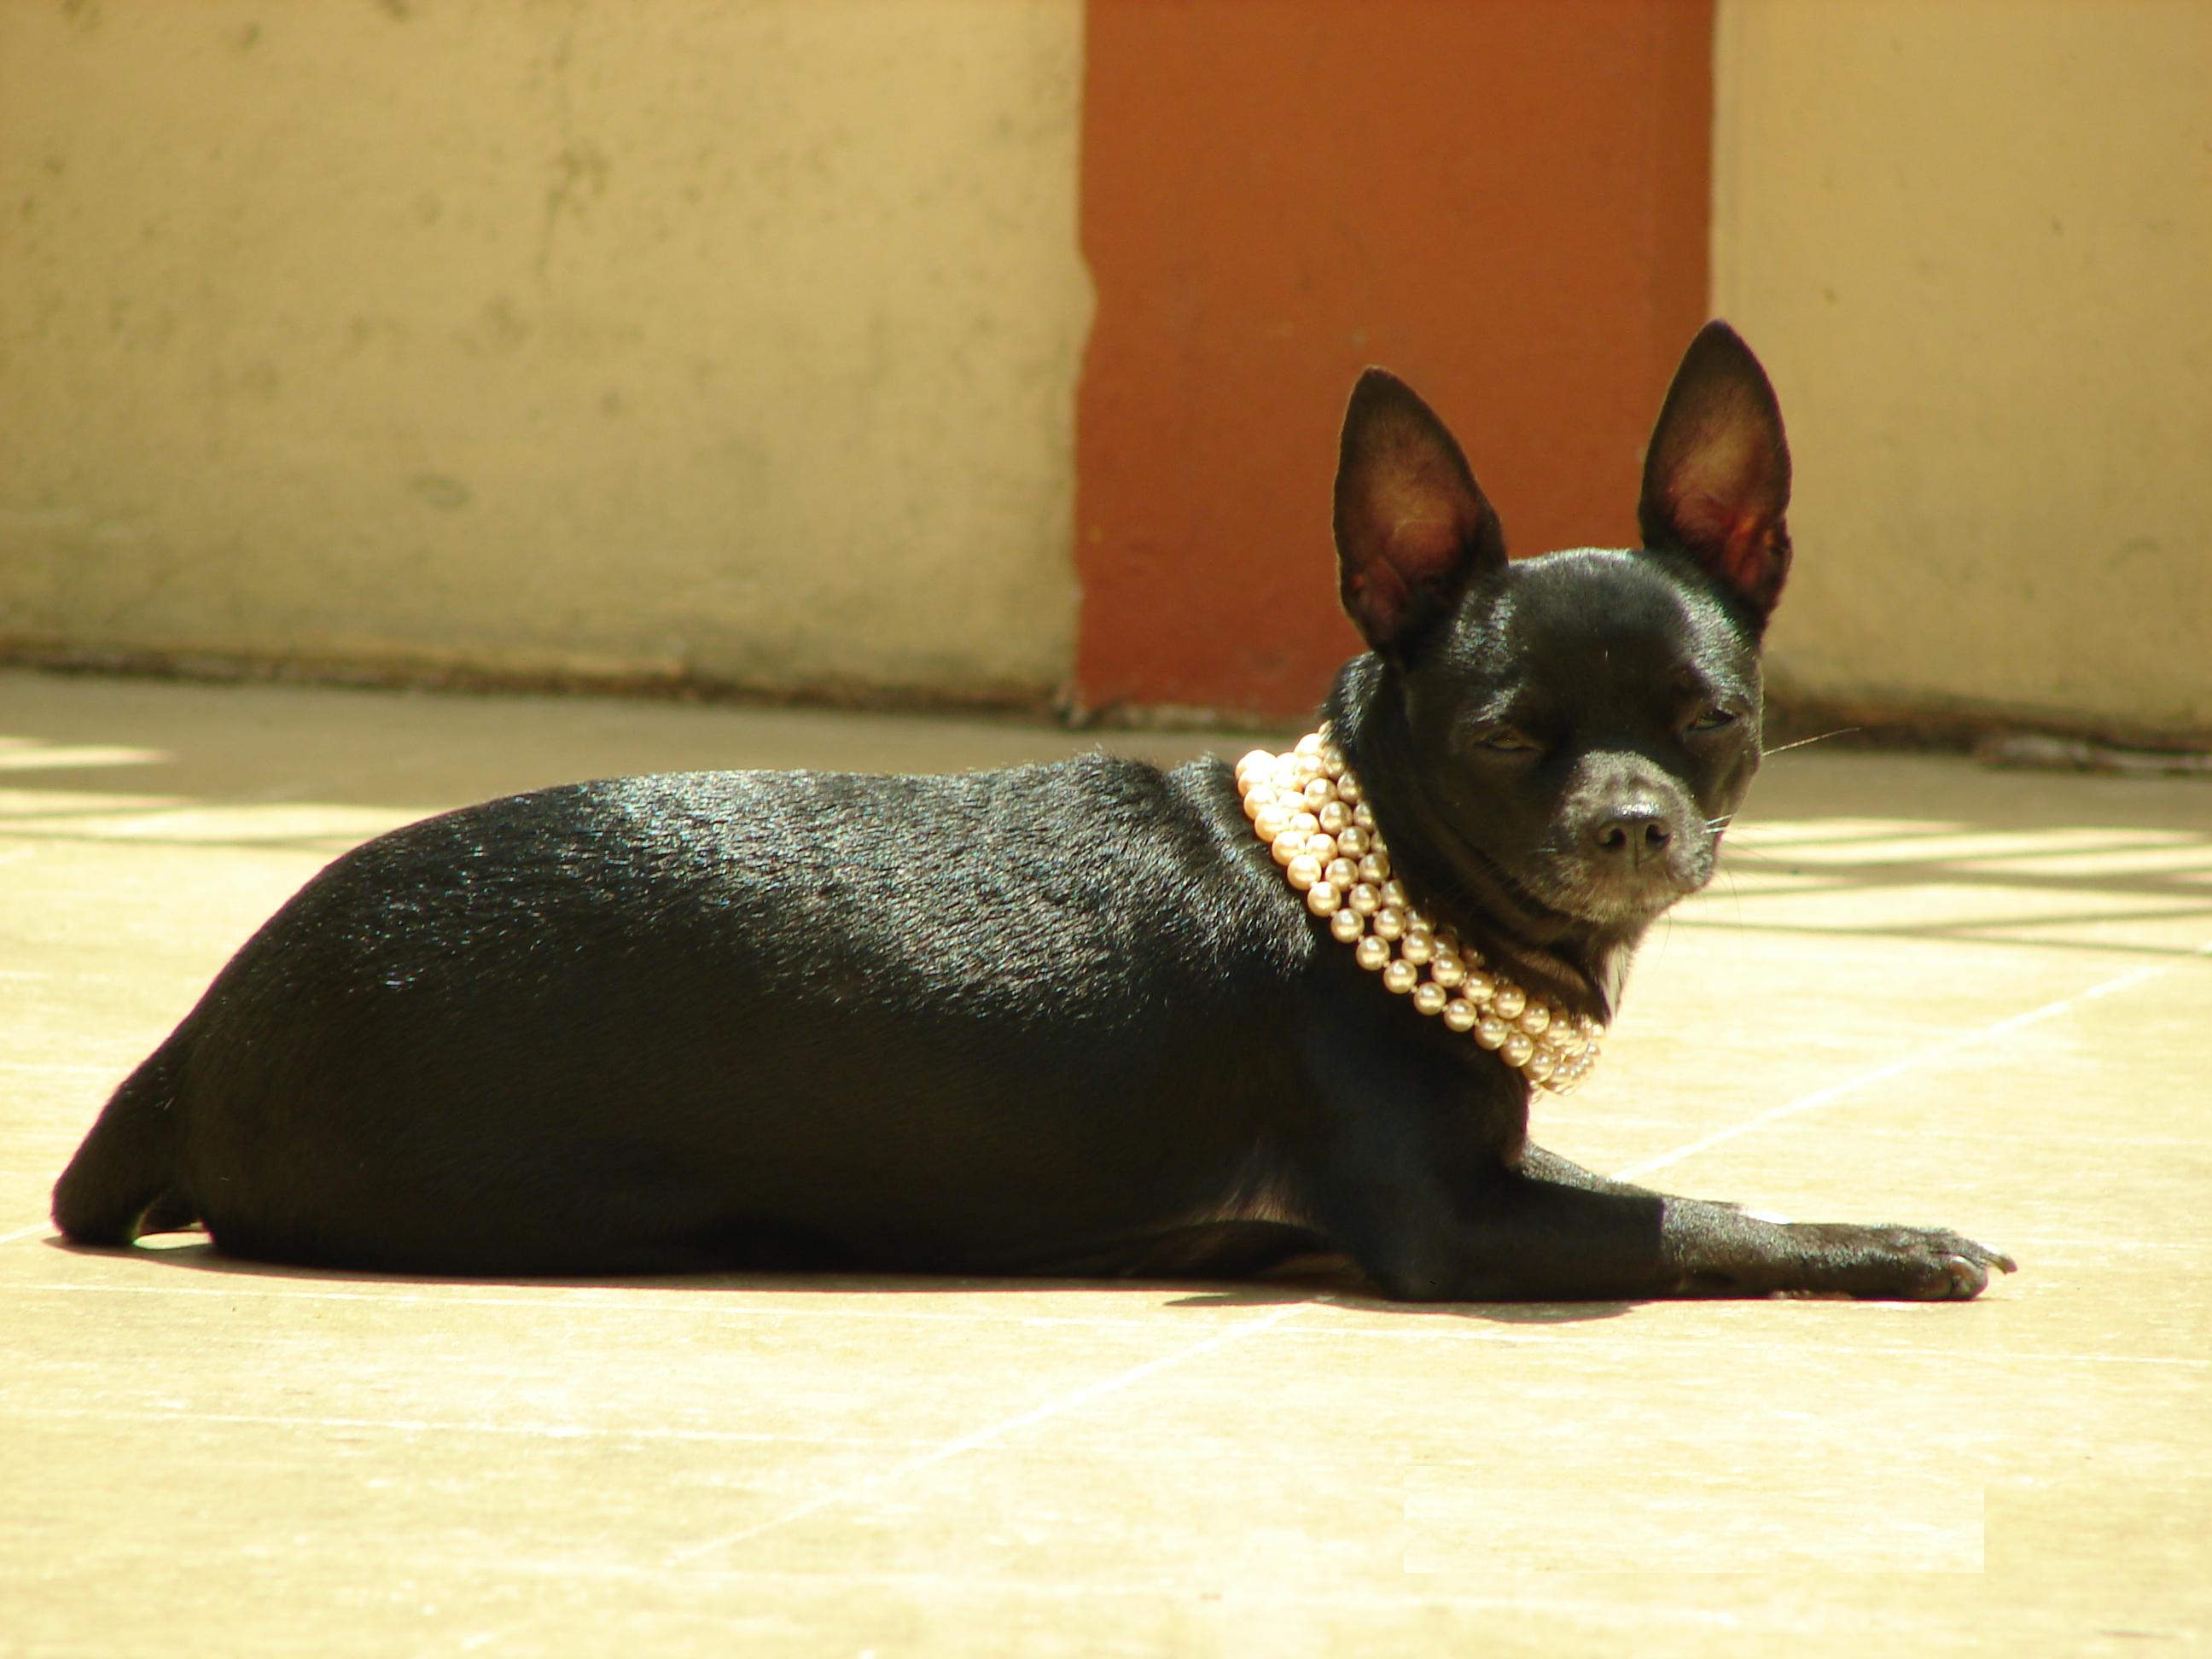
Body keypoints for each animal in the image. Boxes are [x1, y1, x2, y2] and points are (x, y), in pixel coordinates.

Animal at [55, 325, 2026, 1309]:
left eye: (1708, 724)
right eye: (1504, 739)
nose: (1628, 822)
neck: (1382, 873)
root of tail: (198, 1036)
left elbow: (1682, 1189)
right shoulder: (1452, 1223)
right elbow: (1698, 1222)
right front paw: (1892, 1246)